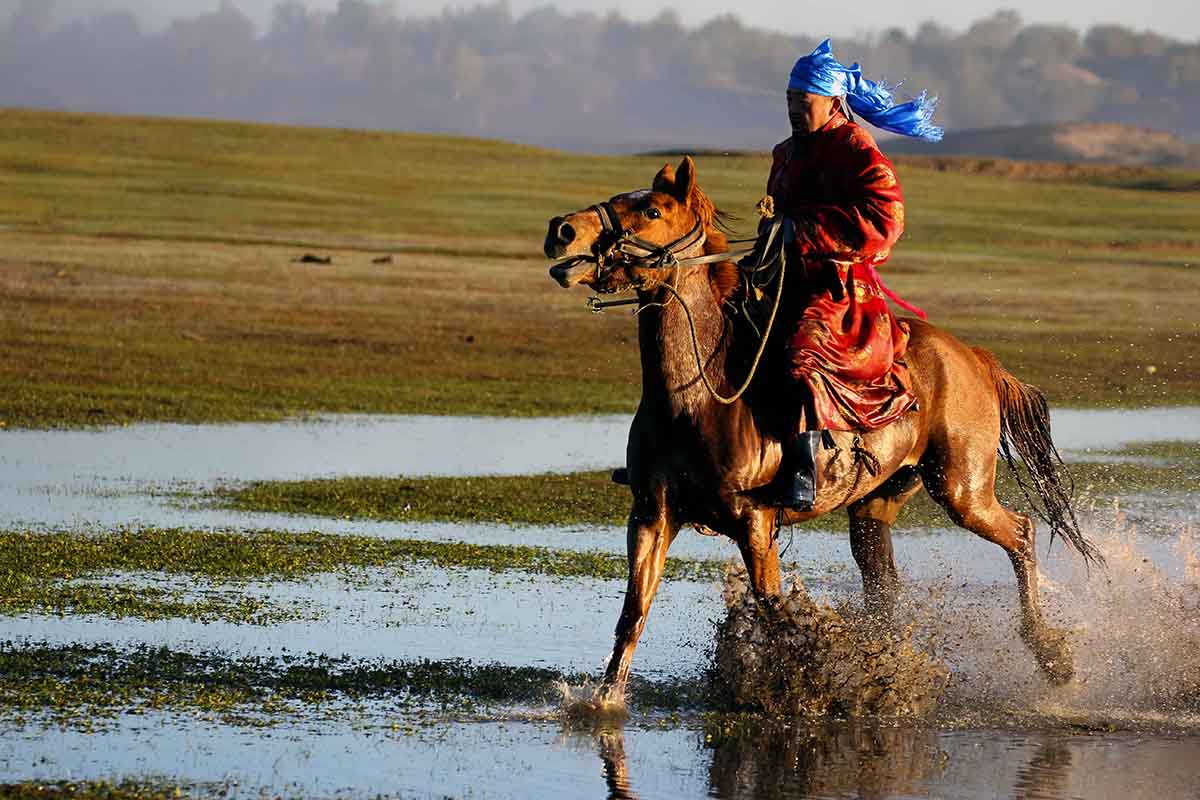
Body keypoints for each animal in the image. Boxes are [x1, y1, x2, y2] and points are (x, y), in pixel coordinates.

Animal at [542, 154, 1099, 705]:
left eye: (652, 211)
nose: (562, 229)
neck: (697, 396)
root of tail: (973, 357)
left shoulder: (755, 521)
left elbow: (772, 612)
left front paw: (796, 689)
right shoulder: (651, 516)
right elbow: (633, 614)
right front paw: (604, 701)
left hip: (961, 489)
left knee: (1022, 533)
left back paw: (1053, 657)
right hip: (876, 505)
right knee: (884, 588)